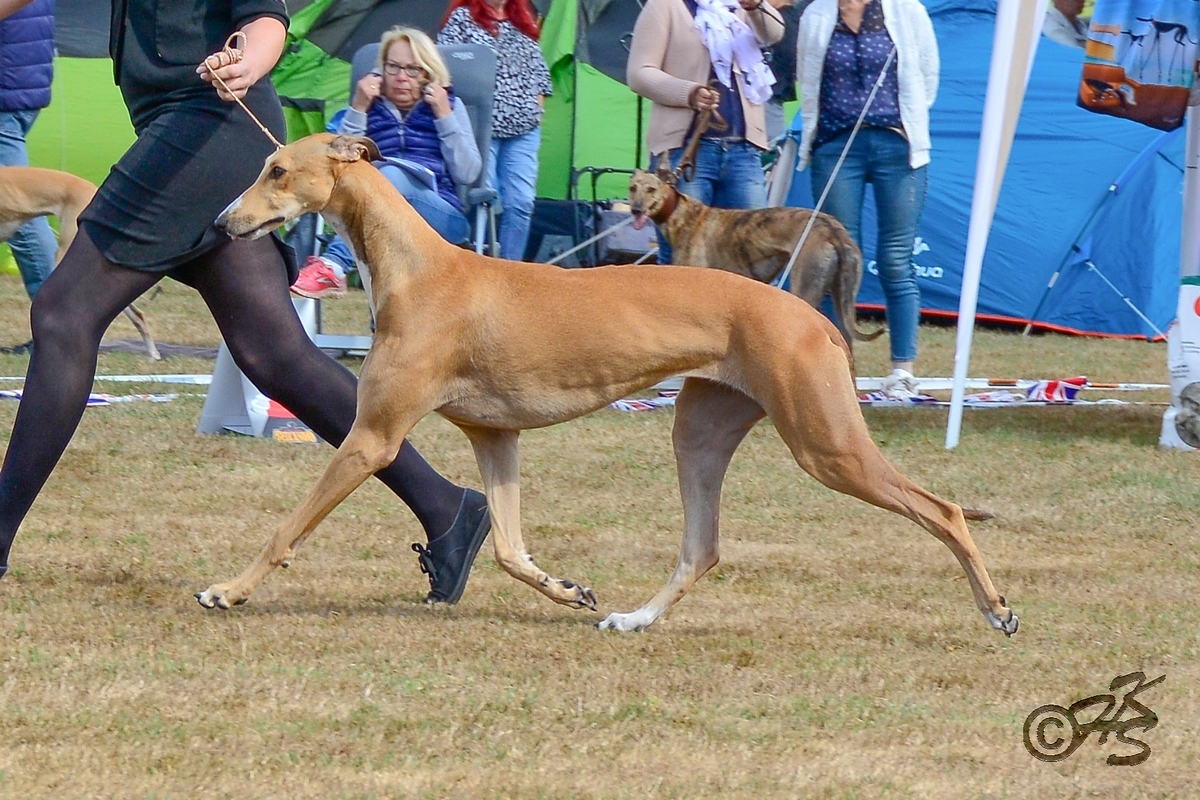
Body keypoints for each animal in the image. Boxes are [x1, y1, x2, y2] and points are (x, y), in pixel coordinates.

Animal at [628, 167, 883, 351]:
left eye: (651, 189)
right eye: (632, 188)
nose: (636, 210)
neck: (685, 215)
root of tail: (833, 230)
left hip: (805, 291)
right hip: (843, 298)